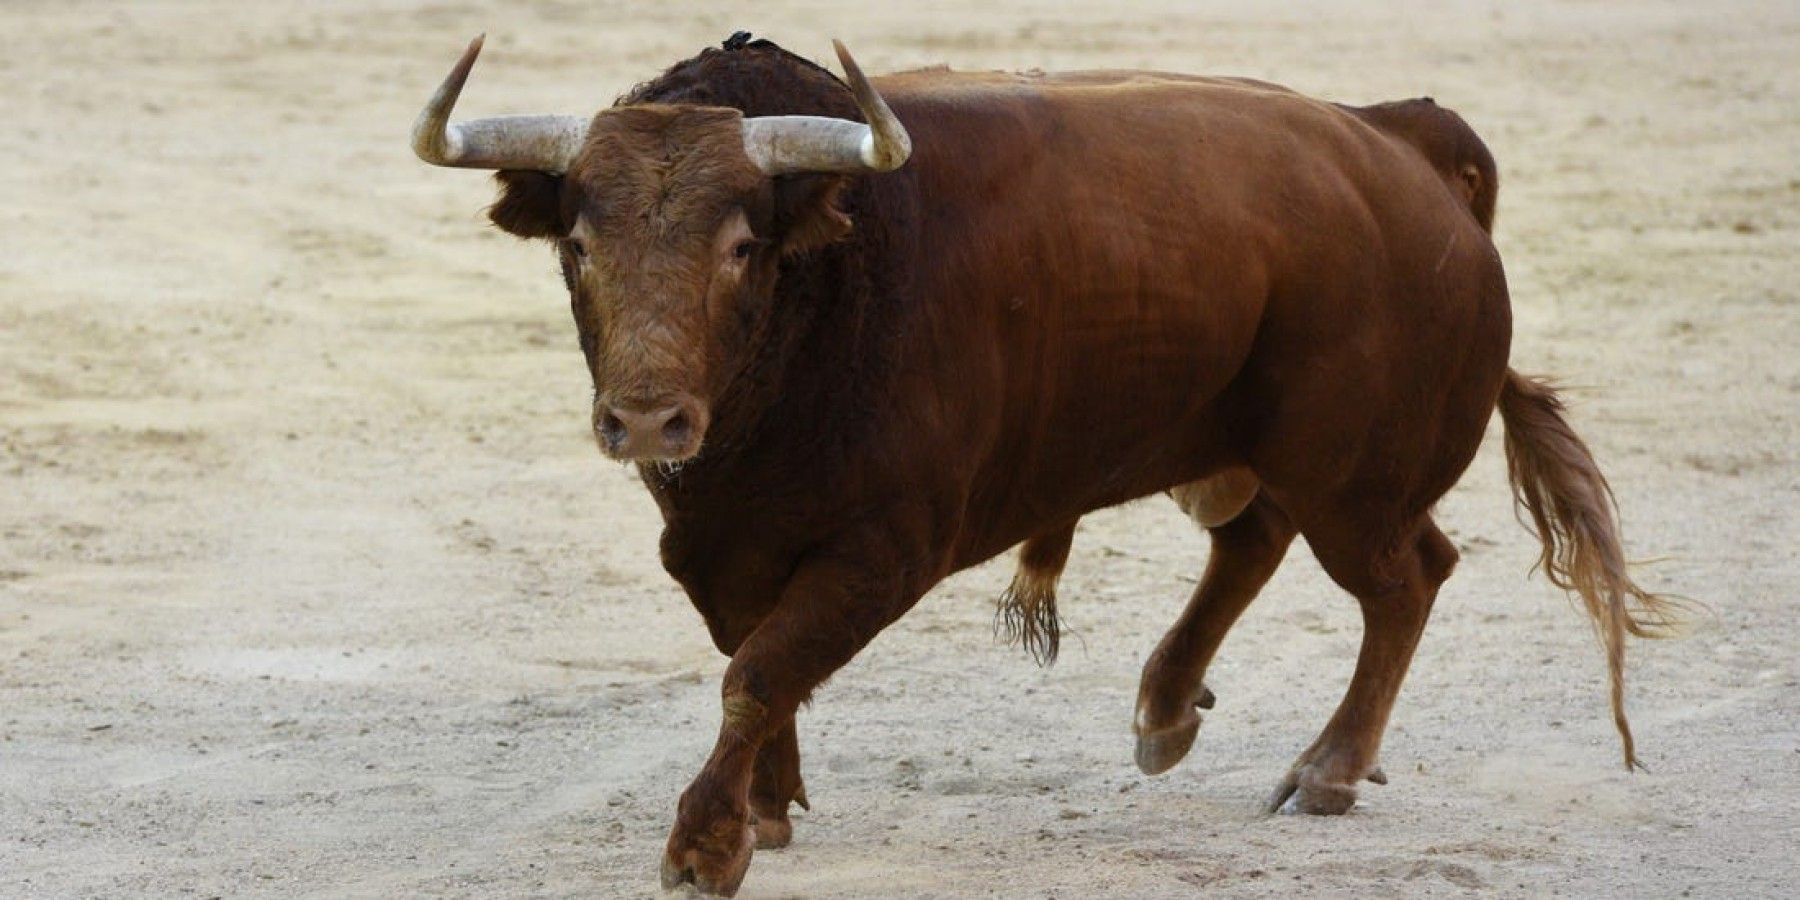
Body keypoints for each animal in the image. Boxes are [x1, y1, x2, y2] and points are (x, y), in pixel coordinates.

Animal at [411, 33, 1685, 896]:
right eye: (580, 243)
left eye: (738, 245)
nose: (647, 421)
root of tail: (1404, 145)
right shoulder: (718, 542)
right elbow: (754, 657)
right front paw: (769, 805)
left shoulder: (886, 546)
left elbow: (759, 671)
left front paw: (706, 842)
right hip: (1245, 443)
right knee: (1255, 539)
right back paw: (1167, 708)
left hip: (1350, 473)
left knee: (1404, 578)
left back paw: (1326, 769)